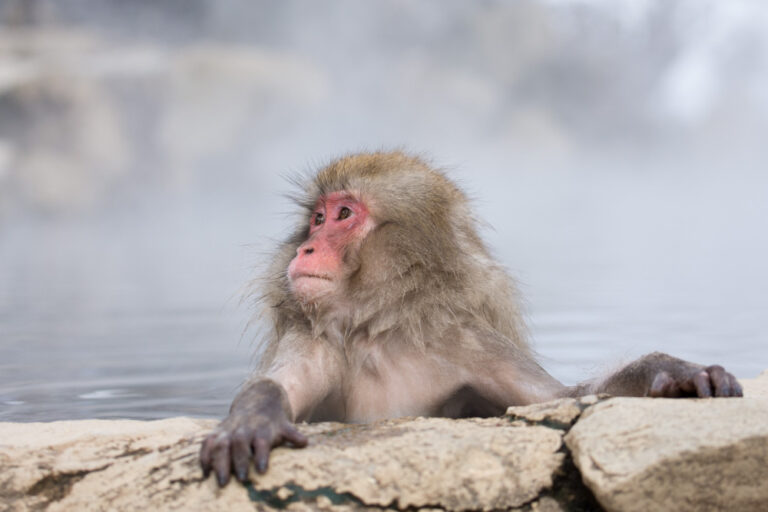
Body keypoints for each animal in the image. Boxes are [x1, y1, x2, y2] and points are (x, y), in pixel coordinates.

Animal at [200, 151, 743, 486]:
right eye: (316, 219)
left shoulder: (468, 341)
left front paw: (668, 370)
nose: (305, 249)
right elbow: (277, 386)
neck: (381, 330)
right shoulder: (314, 335)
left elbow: (560, 398)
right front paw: (251, 418)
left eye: (344, 215)